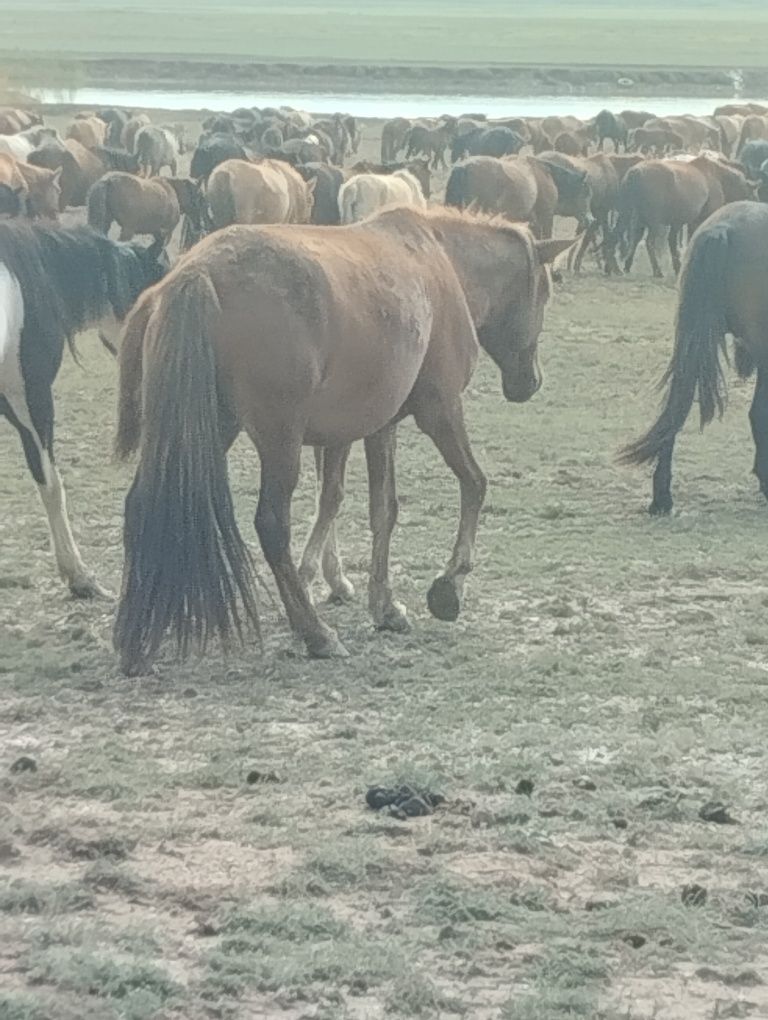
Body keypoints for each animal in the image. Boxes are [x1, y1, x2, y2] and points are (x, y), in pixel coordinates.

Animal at [112, 206, 571, 673]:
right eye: (545, 295)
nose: (531, 382)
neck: (441, 260)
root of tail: (196, 273)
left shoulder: (378, 427)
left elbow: (382, 510)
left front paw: (384, 606)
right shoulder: (439, 411)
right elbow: (474, 484)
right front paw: (450, 585)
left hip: (206, 429)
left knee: (141, 505)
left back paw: (136, 639)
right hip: (280, 442)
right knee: (271, 525)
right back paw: (315, 633)